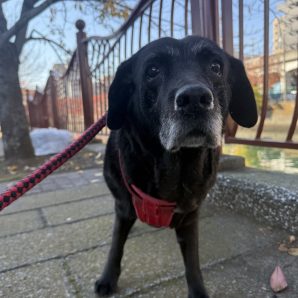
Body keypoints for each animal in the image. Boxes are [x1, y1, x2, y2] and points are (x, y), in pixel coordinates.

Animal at [94, 36, 258, 296]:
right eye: (153, 70)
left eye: (215, 66)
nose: (195, 99)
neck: (176, 167)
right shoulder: (123, 205)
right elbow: (116, 243)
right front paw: (108, 278)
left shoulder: (189, 215)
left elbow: (192, 262)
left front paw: (198, 292)